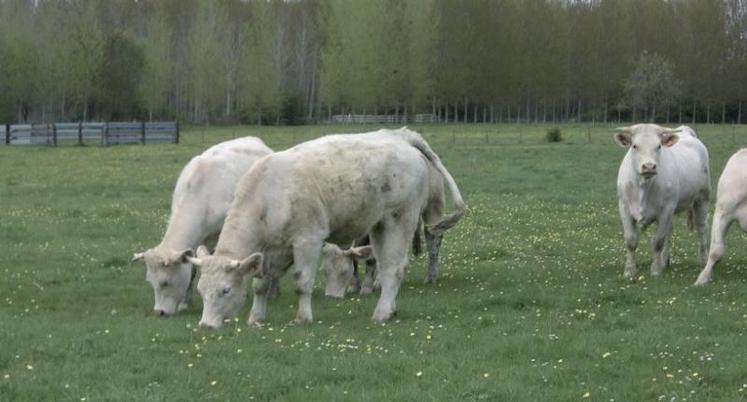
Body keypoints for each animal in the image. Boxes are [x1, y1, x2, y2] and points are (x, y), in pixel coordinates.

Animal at [131, 138, 272, 318]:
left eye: (165, 282)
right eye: (150, 282)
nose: (159, 312)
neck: (201, 193)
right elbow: (192, 269)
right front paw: (185, 303)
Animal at [190, 127, 464, 328]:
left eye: (225, 290)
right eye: (201, 290)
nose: (206, 326)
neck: (269, 196)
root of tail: (403, 138)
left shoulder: (308, 240)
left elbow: (302, 281)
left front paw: (303, 318)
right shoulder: (269, 250)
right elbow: (261, 284)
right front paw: (256, 318)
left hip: (399, 218)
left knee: (395, 268)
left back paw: (382, 313)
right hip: (378, 226)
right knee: (385, 266)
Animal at [612, 124, 712, 278]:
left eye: (658, 146)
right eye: (634, 146)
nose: (649, 166)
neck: (643, 185)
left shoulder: (666, 209)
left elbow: (657, 241)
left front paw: (655, 270)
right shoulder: (624, 207)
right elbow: (631, 240)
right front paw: (629, 270)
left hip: (702, 197)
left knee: (701, 227)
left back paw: (703, 261)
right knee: (669, 231)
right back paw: (665, 261)